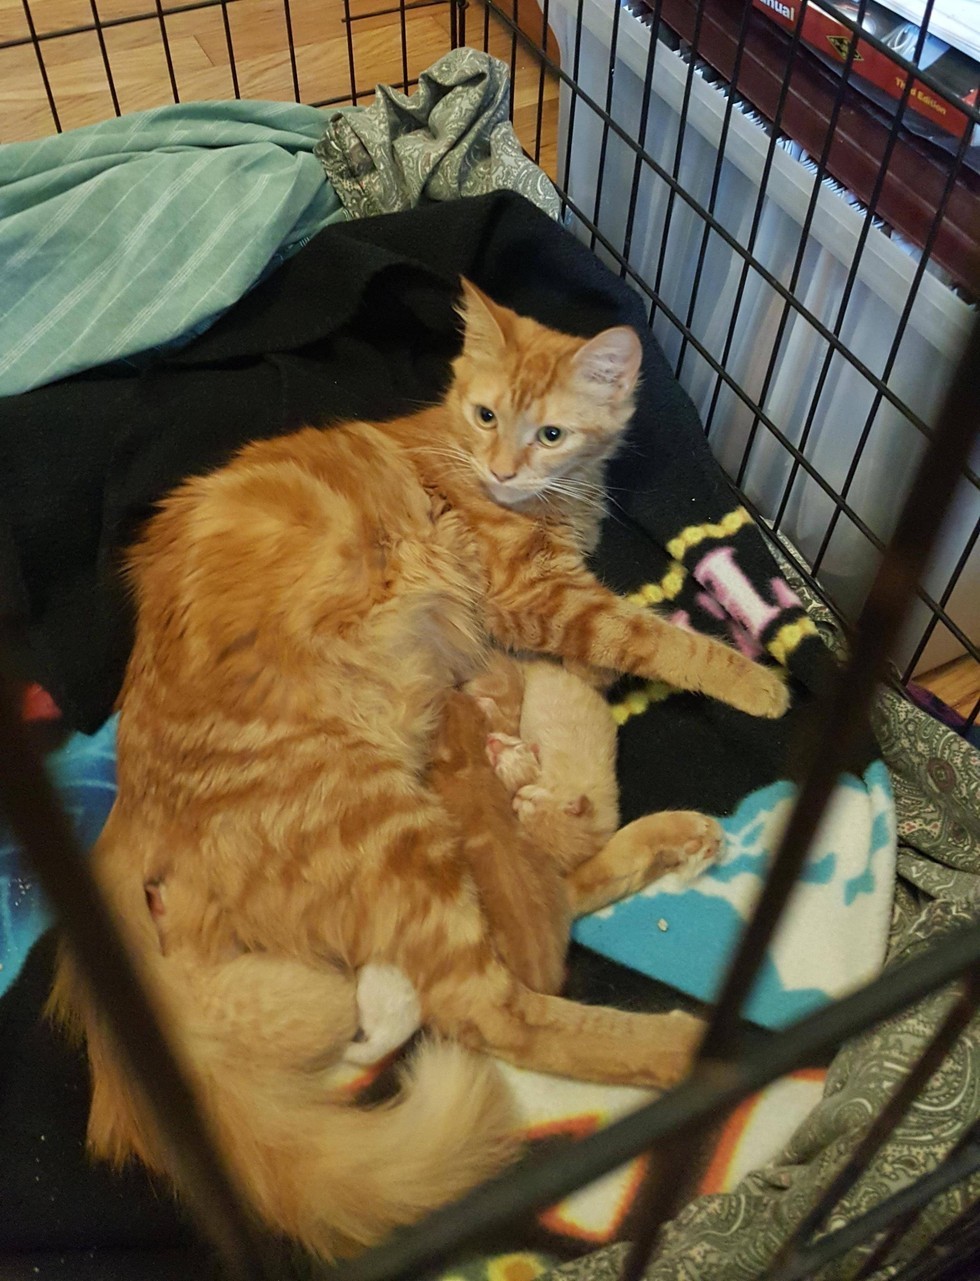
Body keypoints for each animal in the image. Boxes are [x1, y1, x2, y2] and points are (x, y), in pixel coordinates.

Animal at [47, 283, 789, 1260]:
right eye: (486, 416)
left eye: (550, 432)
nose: (505, 469)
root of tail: (130, 797)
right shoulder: (541, 599)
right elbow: (652, 636)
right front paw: (752, 677)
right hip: (389, 830)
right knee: (507, 1001)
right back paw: (687, 1047)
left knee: (544, 905)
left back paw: (666, 842)